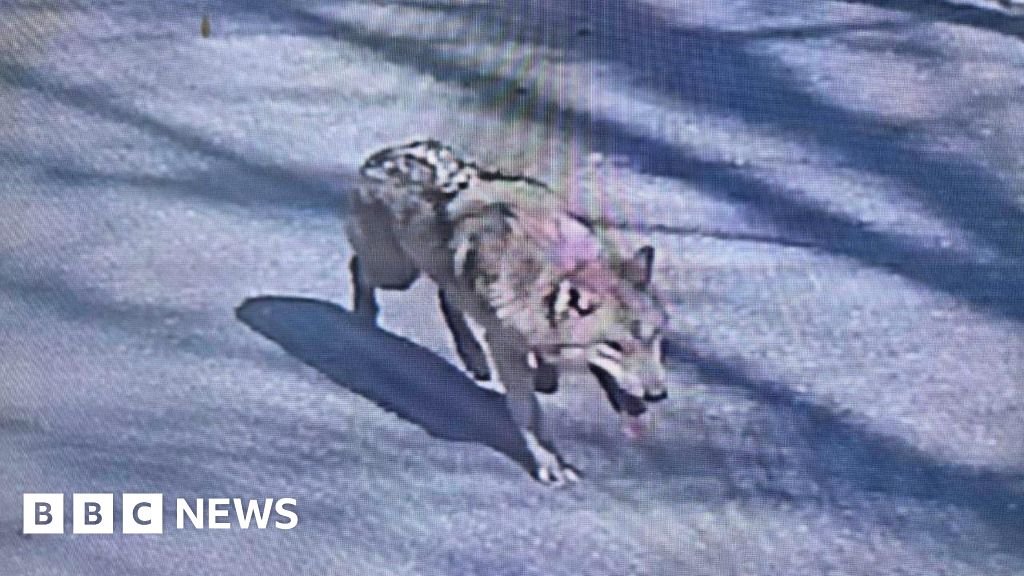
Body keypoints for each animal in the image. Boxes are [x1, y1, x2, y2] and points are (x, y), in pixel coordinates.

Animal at [345, 140, 669, 485]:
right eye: (615, 346)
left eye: (654, 338)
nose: (658, 395)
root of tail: (385, 154)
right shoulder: (505, 347)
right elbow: (529, 414)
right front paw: (551, 464)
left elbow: (547, 372)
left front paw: (546, 375)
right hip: (396, 274)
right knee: (359, 268)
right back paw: (364, 319)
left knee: (447, 297)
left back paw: (473, 357)